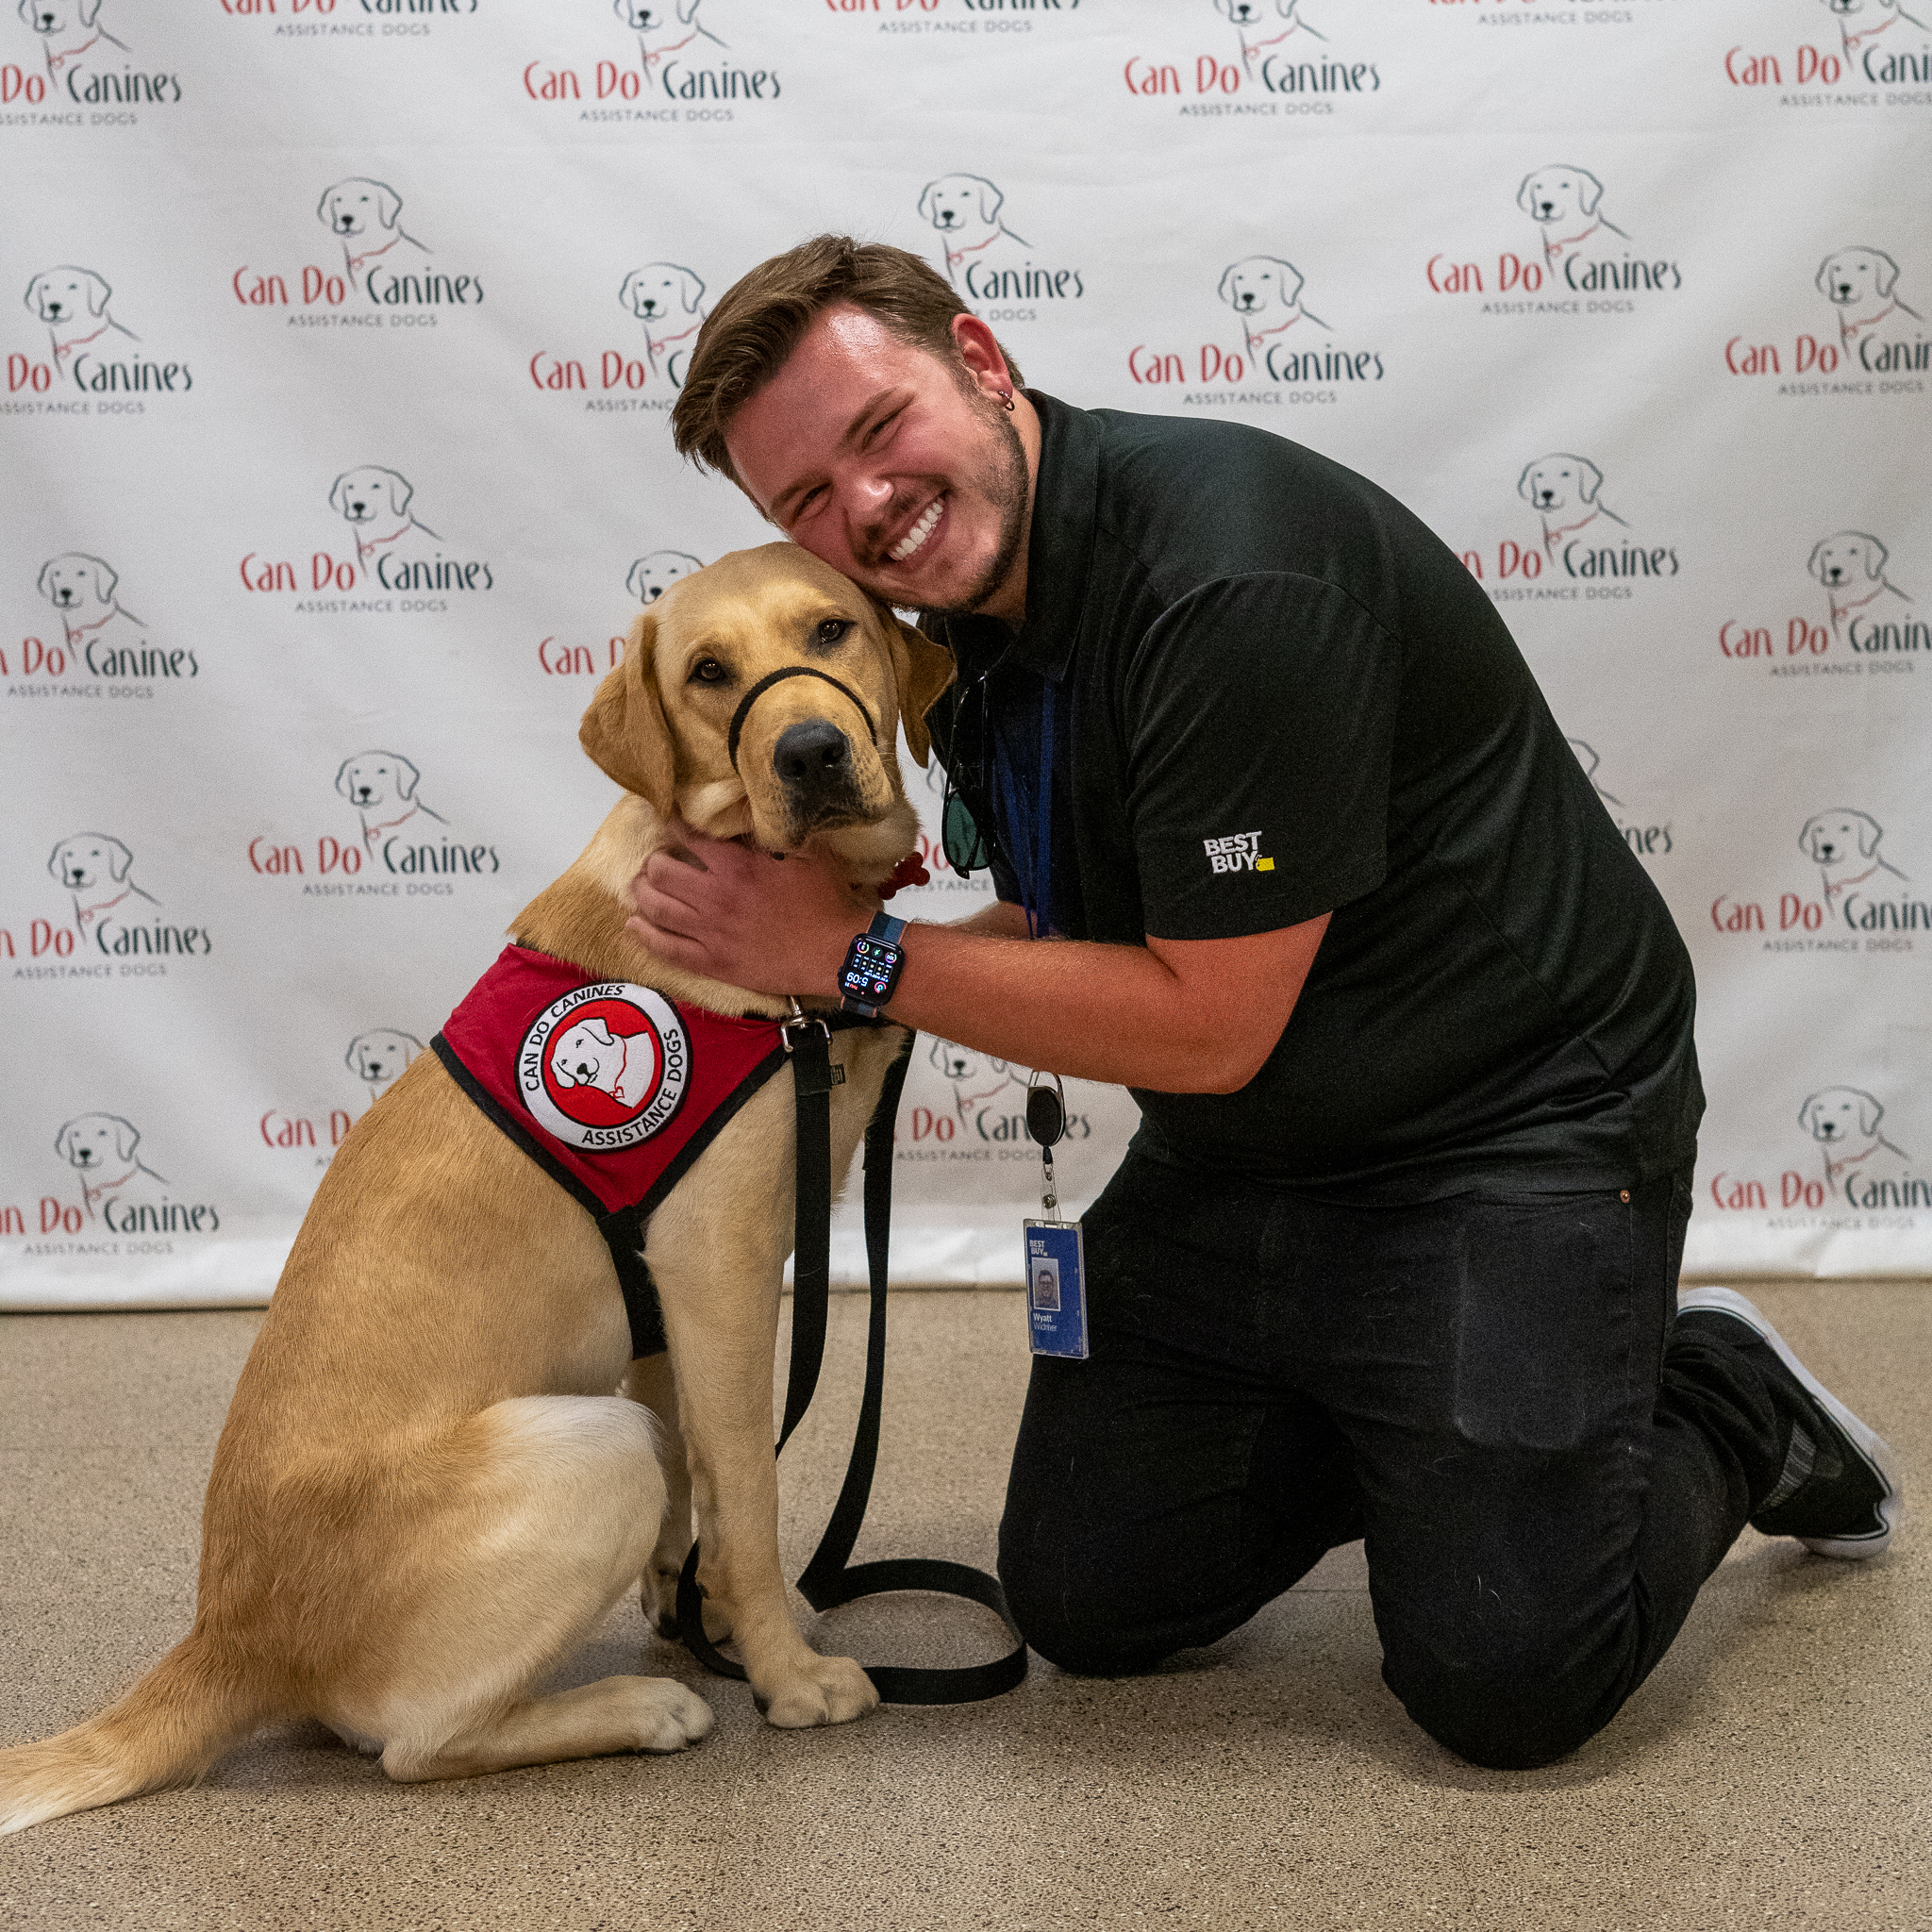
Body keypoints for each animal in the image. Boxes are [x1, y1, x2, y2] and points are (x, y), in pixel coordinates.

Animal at [0, 541, 958, 1824]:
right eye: (708, 672)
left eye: (832, 627)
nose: (808, 750)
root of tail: (230, 1635)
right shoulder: (720, 1265)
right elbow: (746, 1492)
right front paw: (785, 1674)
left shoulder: (664, 1294)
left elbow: (700, 1484)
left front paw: (692, 1611)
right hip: (593, 1445)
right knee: (418, 1746)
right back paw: (637, 1707)